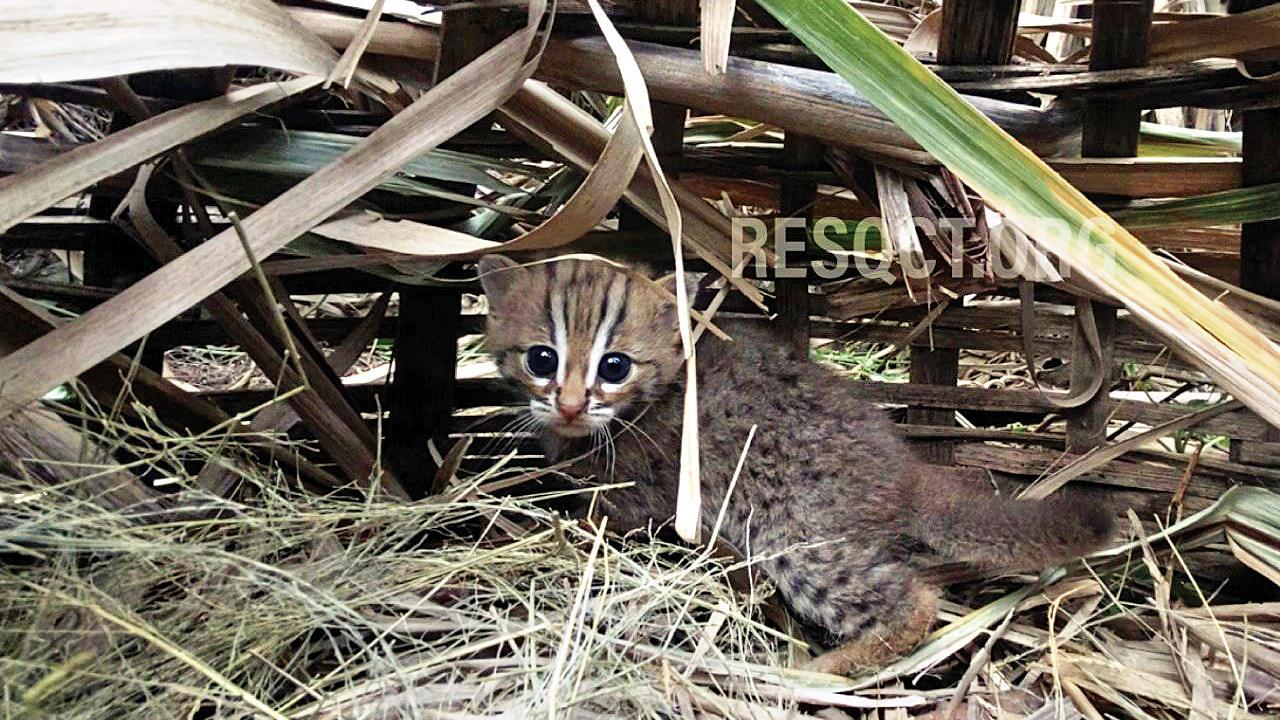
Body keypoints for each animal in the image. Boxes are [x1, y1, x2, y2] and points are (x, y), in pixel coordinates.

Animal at [478, 253, 1111, 671]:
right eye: (541, 359)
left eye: (614, 367)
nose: (569, 404)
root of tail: (904, 473)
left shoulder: (640, 503)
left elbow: (595, 513)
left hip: (797, 538)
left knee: (913, 603)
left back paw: (819, 673)